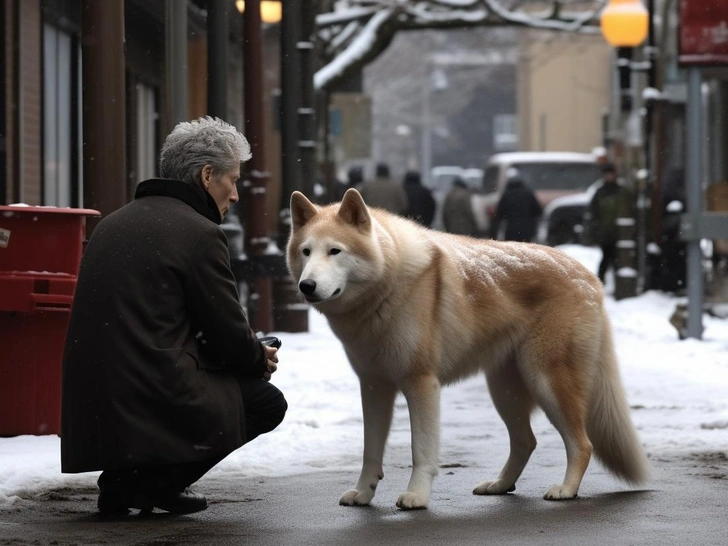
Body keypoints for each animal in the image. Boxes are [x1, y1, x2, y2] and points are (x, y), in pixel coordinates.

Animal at [284, 188, 648, 510]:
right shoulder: (374, 387)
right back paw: (500, 485)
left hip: (545, 381)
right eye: (306, 252)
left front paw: (416, 497)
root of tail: (590, 278)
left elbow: (421, 451)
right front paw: (363, 494)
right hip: (505, 391)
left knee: (582, 444)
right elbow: (370, 452)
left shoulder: (421, 384)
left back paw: (565, 490)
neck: (385, 290)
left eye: (335, 251)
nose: (307, 286)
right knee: (526, 441)